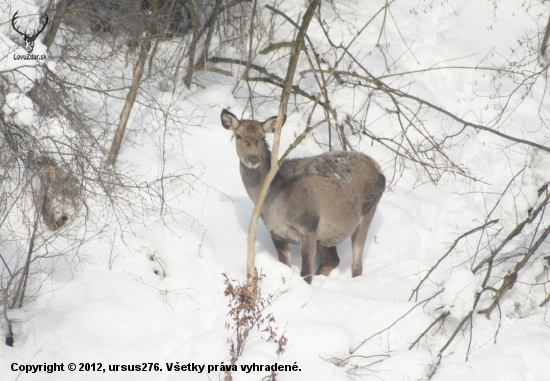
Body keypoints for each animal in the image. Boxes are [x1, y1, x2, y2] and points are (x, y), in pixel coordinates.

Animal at [222, 108, 386, 284]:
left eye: (263, 137)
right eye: (238, 135)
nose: (253, 158)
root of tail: (380, 170)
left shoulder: (309, 227)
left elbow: (305, 274)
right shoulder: (276, 233)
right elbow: (286, 266)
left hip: (368, 211)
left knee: (356, 262)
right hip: (327, 234)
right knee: (332, 260)